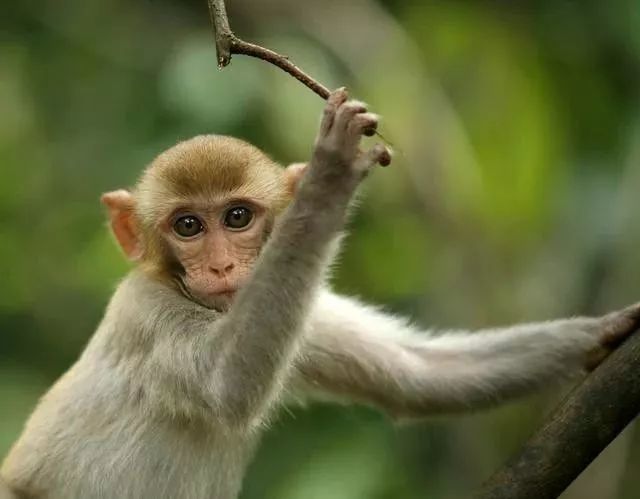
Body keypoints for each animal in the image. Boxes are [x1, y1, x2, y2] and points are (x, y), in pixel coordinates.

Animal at [1, 90, 640, 499]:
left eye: (236, 217)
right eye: (187, 226)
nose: (222, 264)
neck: (194, 299)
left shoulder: (300, 317)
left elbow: (416, 376)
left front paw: (608, 331)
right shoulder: (146, 312)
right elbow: (226, 383)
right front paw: (329, 179)